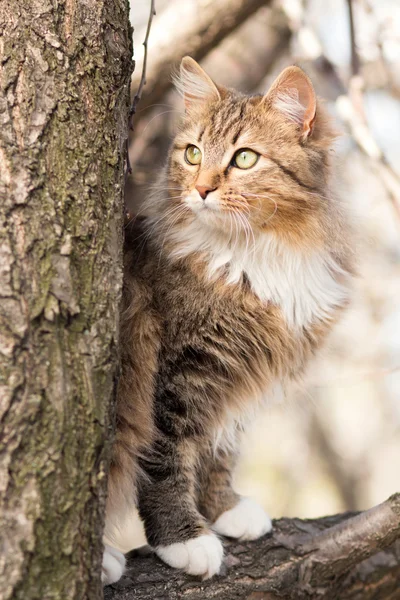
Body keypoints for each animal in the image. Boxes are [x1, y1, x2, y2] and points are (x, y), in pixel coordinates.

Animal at [101, 57, 354, 584]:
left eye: (244, 159)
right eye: (193, 153)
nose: (201, 190)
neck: (254, 256)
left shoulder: (235, 372)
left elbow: (220, 449)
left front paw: (224, 510)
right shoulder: (178, 371)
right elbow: (166, 459)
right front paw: (184, 539)